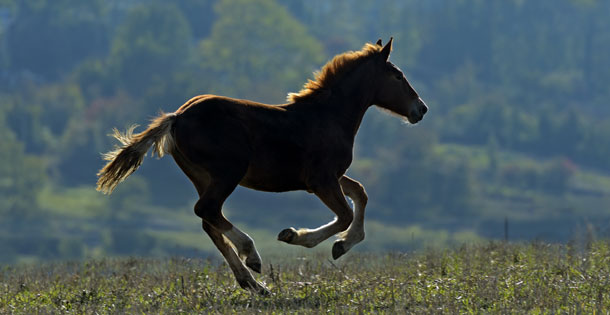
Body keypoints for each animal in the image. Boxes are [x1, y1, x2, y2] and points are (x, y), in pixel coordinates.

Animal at [96, 38, 428, 296]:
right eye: (398, 76)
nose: (421, 109)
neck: (329, 116)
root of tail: (177, 117)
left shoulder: (328, 177)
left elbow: (360, 192)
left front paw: (343, 244)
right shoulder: (320, 179)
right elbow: (345, 213)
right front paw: (300, 237)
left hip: (202, 176)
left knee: (209, 220)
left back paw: (254, 284)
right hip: (228, 172)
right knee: (207, 210)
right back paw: (252, 257)